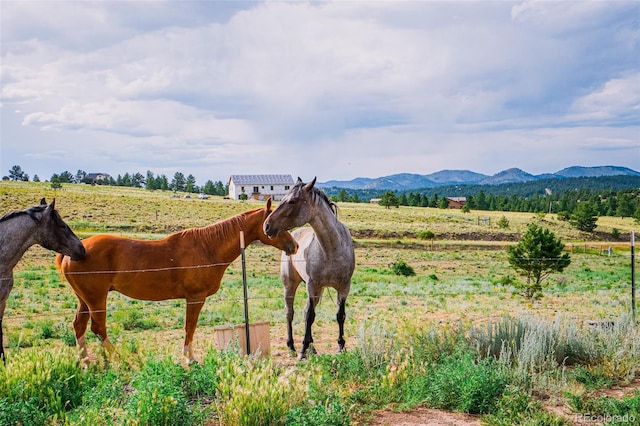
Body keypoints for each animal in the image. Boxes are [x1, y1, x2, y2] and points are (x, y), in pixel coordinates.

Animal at [56, 199, 296, 362]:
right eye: (274, 222)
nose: (294, 246)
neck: (208, 247)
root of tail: (73, 252)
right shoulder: (195, 298)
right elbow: (190, 327)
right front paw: (190, 358)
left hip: (85, 300)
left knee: (79, 326)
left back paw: (85, 361)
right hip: (96, 300)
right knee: (98, 328)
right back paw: (121, 359)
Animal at [264, 176, 356, 360]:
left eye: (292, 201)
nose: (267, 226)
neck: (331, 249)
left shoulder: (343, 287)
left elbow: (340, 315)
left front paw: (341, 346)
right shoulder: (312, 286)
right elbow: (309, 316)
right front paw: (302, 350)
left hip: (317, 290)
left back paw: (312, 348)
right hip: (291, 285)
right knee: (290, 312)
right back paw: (292, 347)